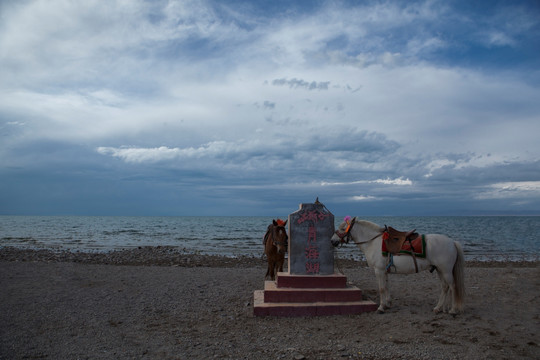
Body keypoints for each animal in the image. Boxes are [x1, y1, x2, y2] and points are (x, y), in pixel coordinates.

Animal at [330, 218, 464, 314]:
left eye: (343, 228)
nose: (332, 241)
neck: (373, 242)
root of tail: (452, 242)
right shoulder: (384, 271)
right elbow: (387, 287)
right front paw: (388, 304)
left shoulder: (379, 271)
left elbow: (381, 288)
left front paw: (381, 307)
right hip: (440, 270)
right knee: (445, 287)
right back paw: (438, 308)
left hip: (446, 271)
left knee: (452, 286)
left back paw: (452, 310)